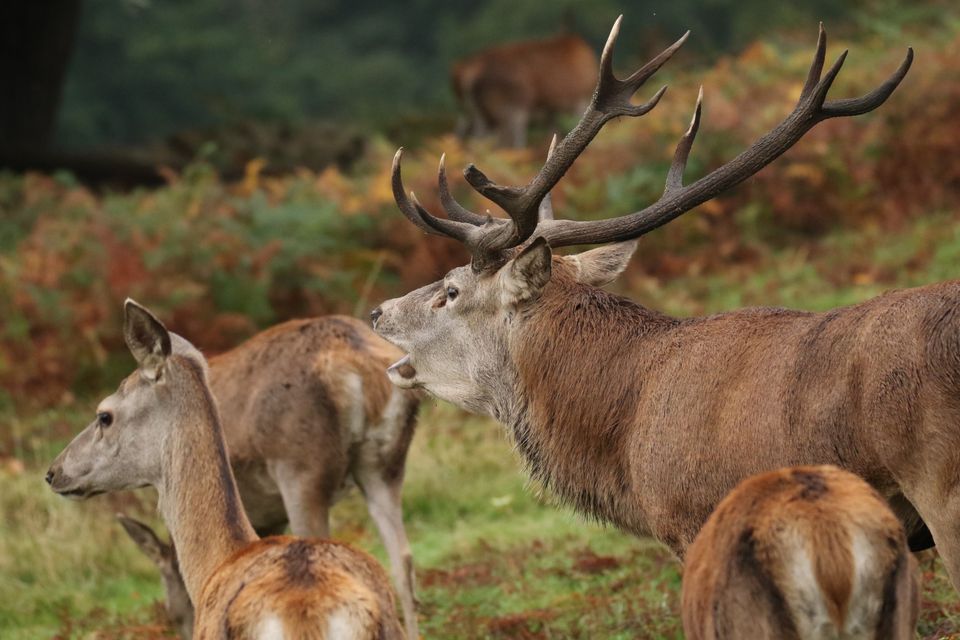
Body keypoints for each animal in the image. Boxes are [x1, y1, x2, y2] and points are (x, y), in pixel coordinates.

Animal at [452, 33, 600, 148]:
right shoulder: (579, 99)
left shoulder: (550, 110)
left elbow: (553, 130)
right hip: (510, 104)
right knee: (507, 137)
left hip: (475, 112)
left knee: (473, 134)